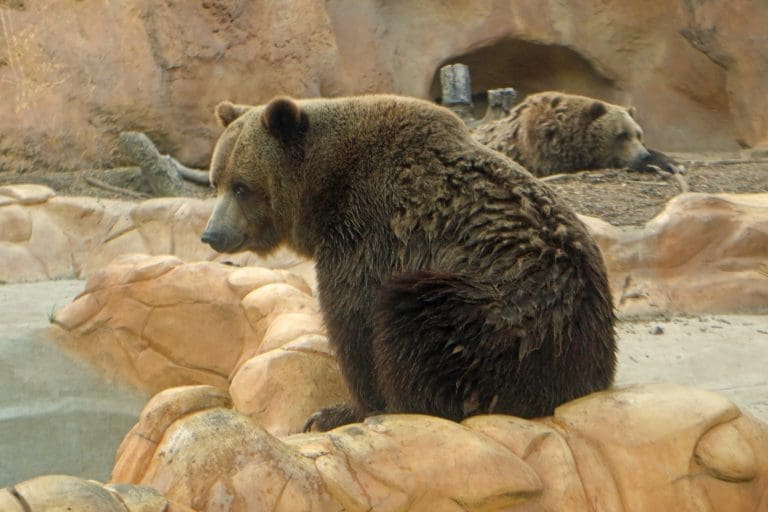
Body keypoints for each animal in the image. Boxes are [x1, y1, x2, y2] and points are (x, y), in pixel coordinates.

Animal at [201, 94, 617, 431]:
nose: (212, 234)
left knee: (416, 312)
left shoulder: (368, 231)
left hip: (502, 318)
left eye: (241, 187)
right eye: (215, 182)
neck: (325, 190)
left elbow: (355, 319)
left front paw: (340, 411)